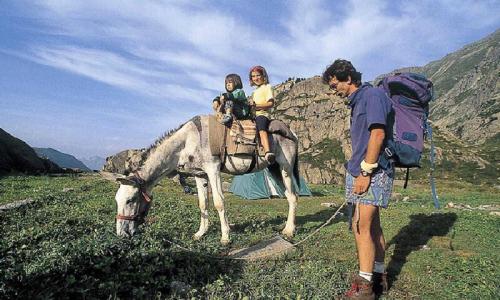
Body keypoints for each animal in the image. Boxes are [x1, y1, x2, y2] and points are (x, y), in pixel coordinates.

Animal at [99, 115, 298, 244]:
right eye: (117, 200)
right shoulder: (199, 174)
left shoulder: (213, 169)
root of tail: (292, 132)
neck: (187, 141)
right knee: (289, 196)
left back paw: (289, 231)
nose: (121, 233)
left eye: (131, 200)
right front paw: (200, 233)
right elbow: (203, 203)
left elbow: (219, 202)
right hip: (273, 169)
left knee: (293, 197)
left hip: (285, 167)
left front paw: (225, 237)